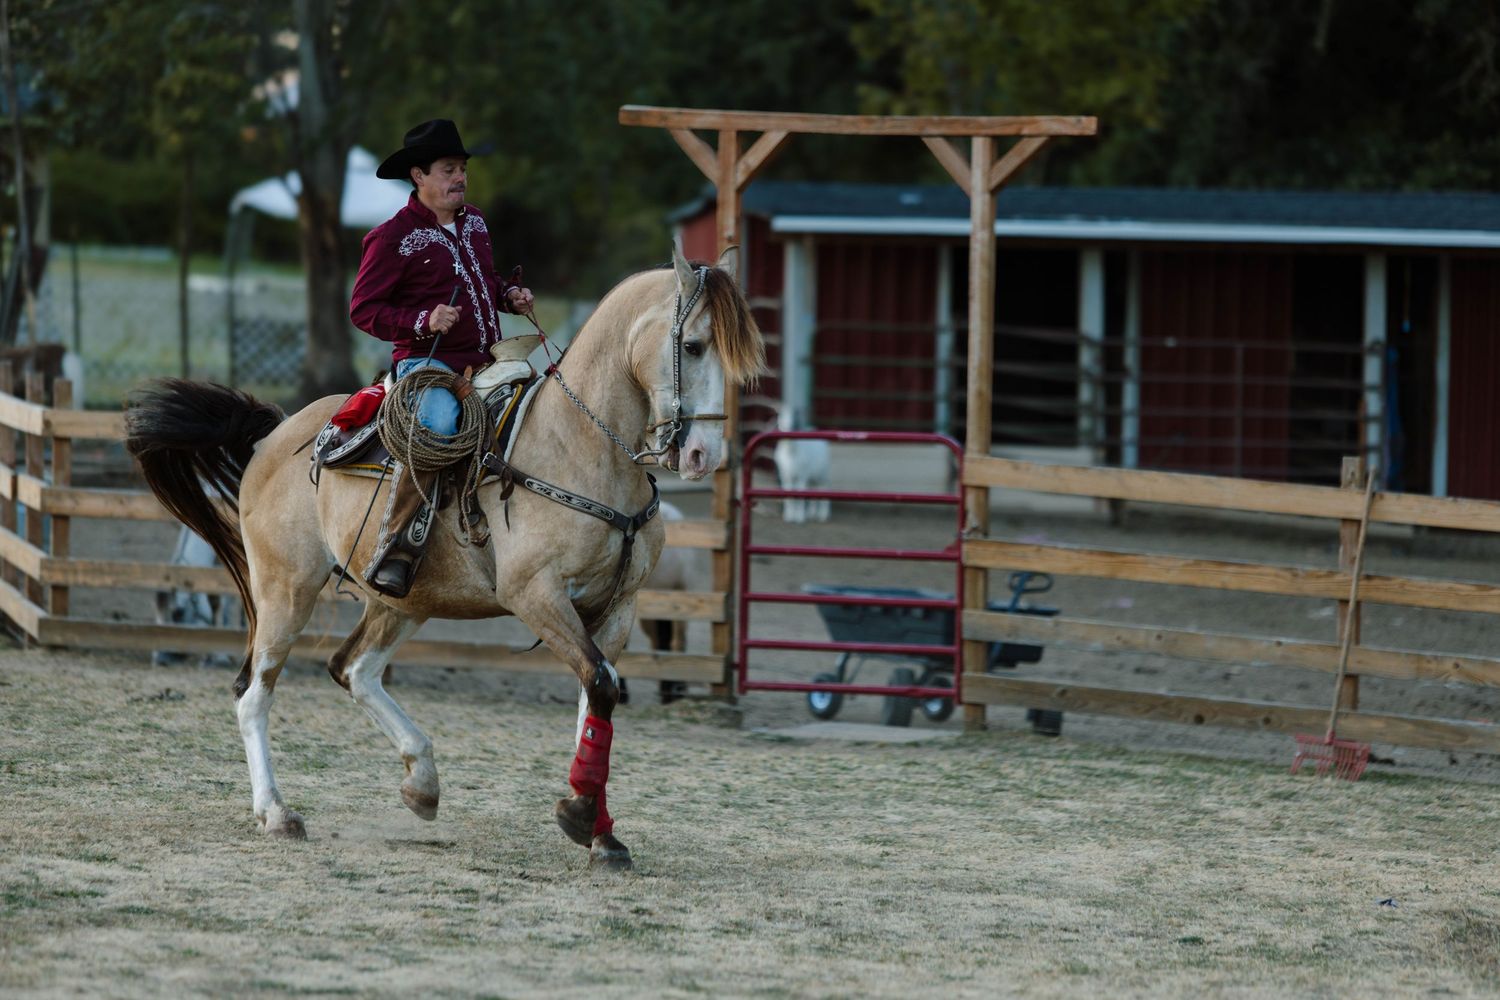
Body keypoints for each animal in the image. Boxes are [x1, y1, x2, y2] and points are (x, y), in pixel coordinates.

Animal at [124, 246, 764, 870]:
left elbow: (595, 698)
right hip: (286, 590)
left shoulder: (619, 607)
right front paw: (582, 817)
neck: (579, 449)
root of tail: (275, 435)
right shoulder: (535, 595)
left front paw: (600, 831)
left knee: (354, 668)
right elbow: (600, 687)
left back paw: (422, 783)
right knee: (254, 693)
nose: (704, 455)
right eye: (692, 346)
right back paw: (277, 813)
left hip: (401, 598)